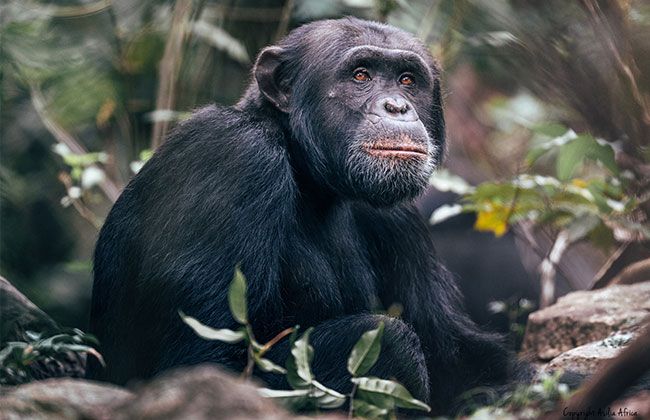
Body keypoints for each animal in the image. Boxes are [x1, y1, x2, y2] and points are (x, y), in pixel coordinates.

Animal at [90, 17, 516, 416]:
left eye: (407, 80)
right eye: (361, 75)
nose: (397, 106)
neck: (310, 176)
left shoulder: (398, 216)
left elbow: (458, 354)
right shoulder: (231, 156)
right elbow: (207, 365)